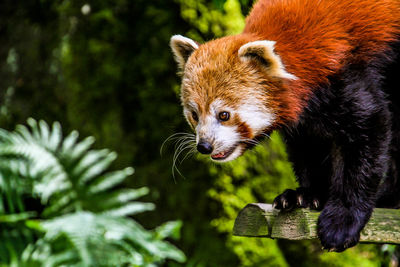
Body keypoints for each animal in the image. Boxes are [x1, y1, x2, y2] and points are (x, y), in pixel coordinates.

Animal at [170, 0, 400, 252]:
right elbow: (308, 148)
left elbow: (366, 135)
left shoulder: (345, 73)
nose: (205, 146)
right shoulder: (306, 117)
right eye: (194, 115)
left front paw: (342, 221)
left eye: (224, 115)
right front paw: (307, 195)